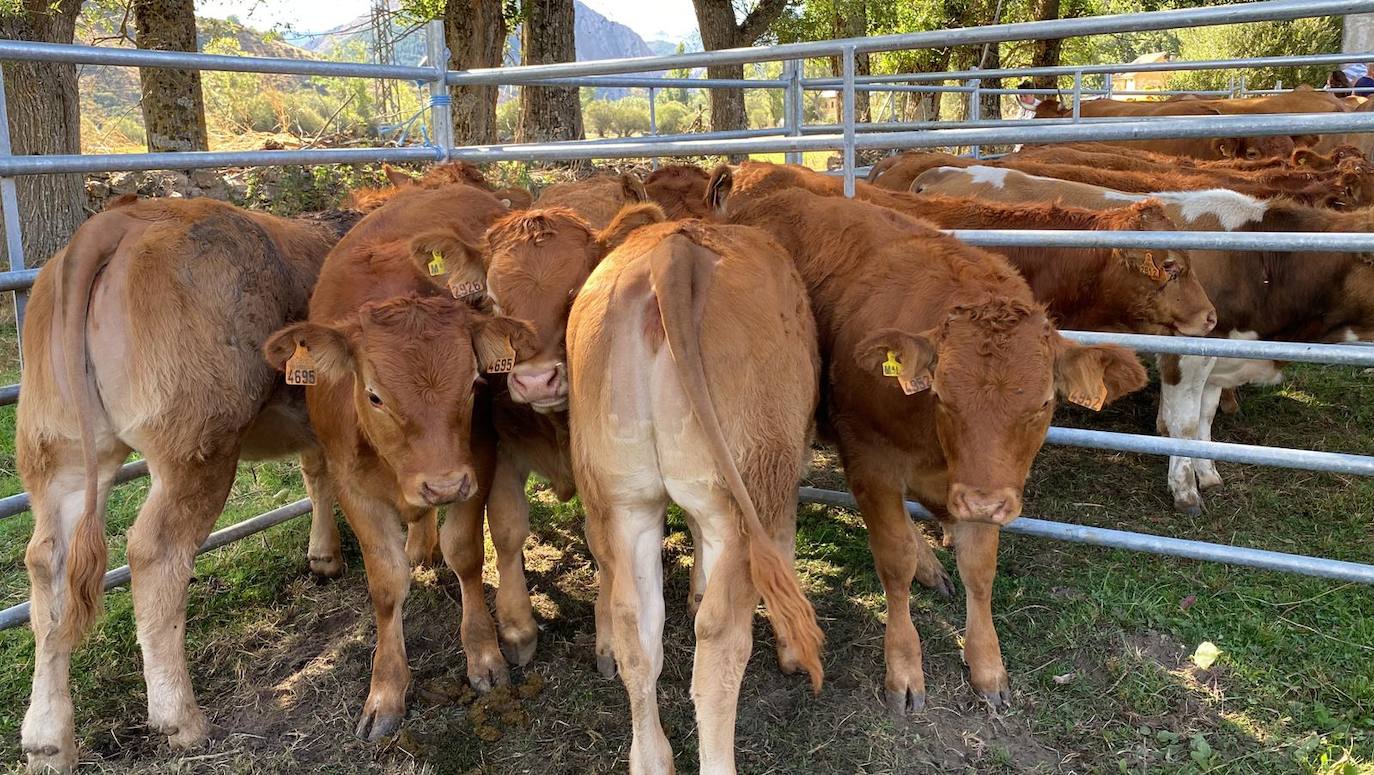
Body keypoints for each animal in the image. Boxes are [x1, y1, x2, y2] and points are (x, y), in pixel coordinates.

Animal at [16, 195, 357, 769]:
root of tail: (121, 217)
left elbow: (319, 479)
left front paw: (324, 556)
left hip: (57, 449)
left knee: (48, 563)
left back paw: (48, 739)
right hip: (197, 442)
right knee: (155, 552)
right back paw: (180, 718)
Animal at [259, 181, 533, 736]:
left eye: (473, 382)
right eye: (375, 395)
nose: (443, 485)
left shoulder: (477, 463)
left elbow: (465, 554)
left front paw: (484, 655)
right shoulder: (354, 487)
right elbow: (386, 584)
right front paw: (385, 692)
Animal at [563, 219, 818, 775]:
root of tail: (675, 248)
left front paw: (695, 588)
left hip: (625, 499)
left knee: (636, 626)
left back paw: (650, 758)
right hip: (746, 495)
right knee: (720, 639)